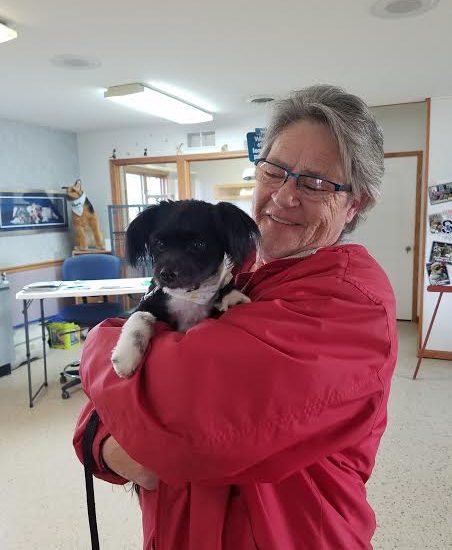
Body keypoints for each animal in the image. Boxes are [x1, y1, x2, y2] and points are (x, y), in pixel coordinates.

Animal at [111, 202, 260, 380]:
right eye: (159, 244)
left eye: (198, 245)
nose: (166, 274)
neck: (188, 294)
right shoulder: (148, 302)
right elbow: (140, 316)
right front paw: (125, 357)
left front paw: (231, 297)